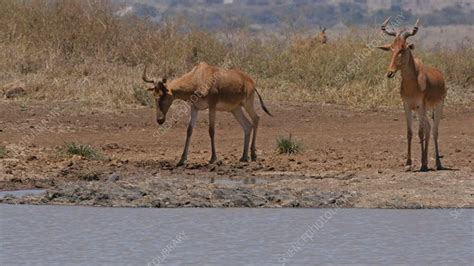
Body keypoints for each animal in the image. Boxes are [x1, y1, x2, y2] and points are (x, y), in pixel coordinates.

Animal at [143, 62, 272, 166]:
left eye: (163, 95)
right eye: (154, 95)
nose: (160, 120)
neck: (199, 75)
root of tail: (251, 81)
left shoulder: (212, 106)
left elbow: (211, 130)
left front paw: (213, 158)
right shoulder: (194, 107)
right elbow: (189, 131)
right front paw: (182, 159)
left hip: (247, 103)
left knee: (256, 119)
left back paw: (253, 155)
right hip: (235, 109)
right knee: (247, 126)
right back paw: (244, 157)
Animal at [376, 17, 446, 170]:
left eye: (403, 48)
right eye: (391, 48)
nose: (390, 73)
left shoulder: (421, 105)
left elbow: (420, 132)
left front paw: (423, 164)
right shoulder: (407, 106)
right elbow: (409, 133)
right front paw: (408, 163)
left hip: (437, 107)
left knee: (434, 131)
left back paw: (436, 163)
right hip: (421, 111)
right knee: (428, 128)